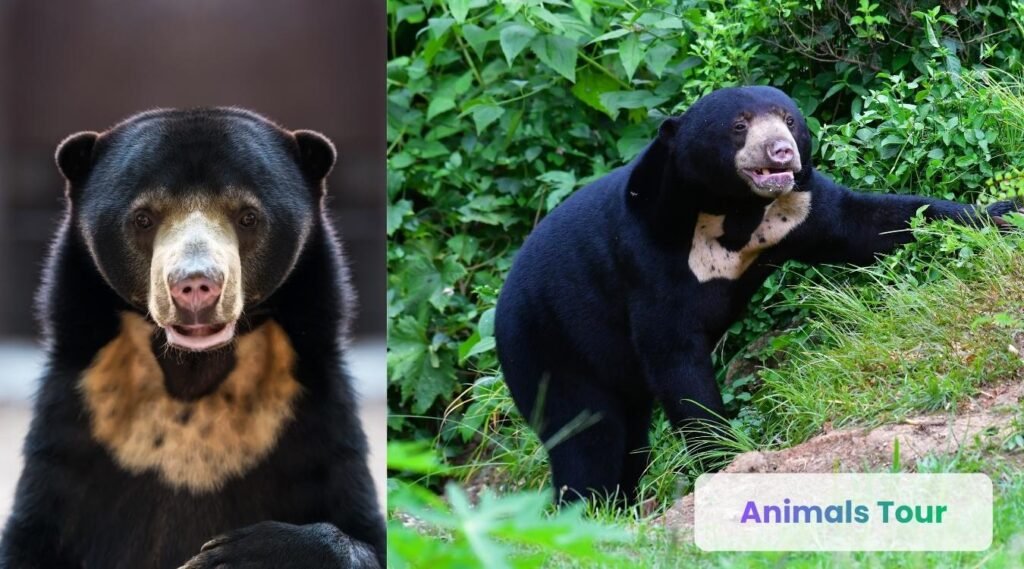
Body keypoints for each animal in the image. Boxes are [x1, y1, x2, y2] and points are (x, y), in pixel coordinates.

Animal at [0, 108, 385, 568]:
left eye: (248, 217)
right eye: (143, 218)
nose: (196, 286)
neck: (193, 375)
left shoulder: (309, 412)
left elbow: (360, 531)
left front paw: (237, 553)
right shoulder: (80, 421)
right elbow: (33, 536)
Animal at [494, 86, 1020, 505]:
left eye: (788, 119)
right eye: (739, 125)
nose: (782, 153)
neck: (732, 211)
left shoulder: (798, 208)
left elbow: (870, 222)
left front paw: (1002, 213)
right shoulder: (645, 258)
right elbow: (674, 356)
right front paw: (725, 457)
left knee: (629, 438)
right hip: (550, 351)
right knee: (587, 440)